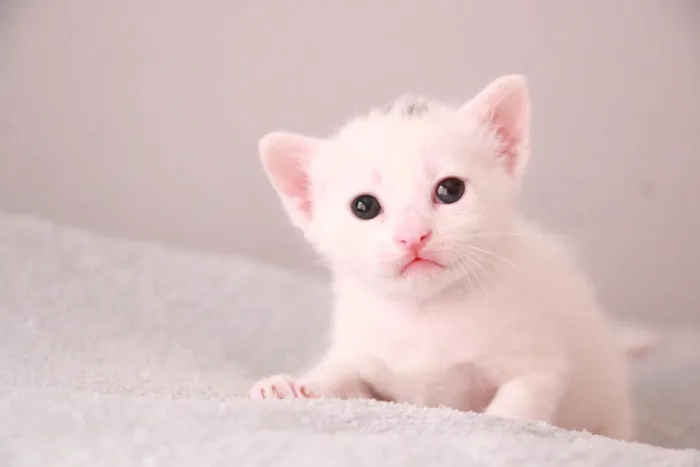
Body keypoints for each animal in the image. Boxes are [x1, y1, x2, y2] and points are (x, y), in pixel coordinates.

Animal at [249, 75, 652, 440]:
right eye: (364, 206)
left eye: (450, 190)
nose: (413, 235)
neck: (425, 313)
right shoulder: (361, 354)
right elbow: (338, 378)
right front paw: (288, 386)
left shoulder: (537, 366)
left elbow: (514, 410)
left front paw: (498, 426)